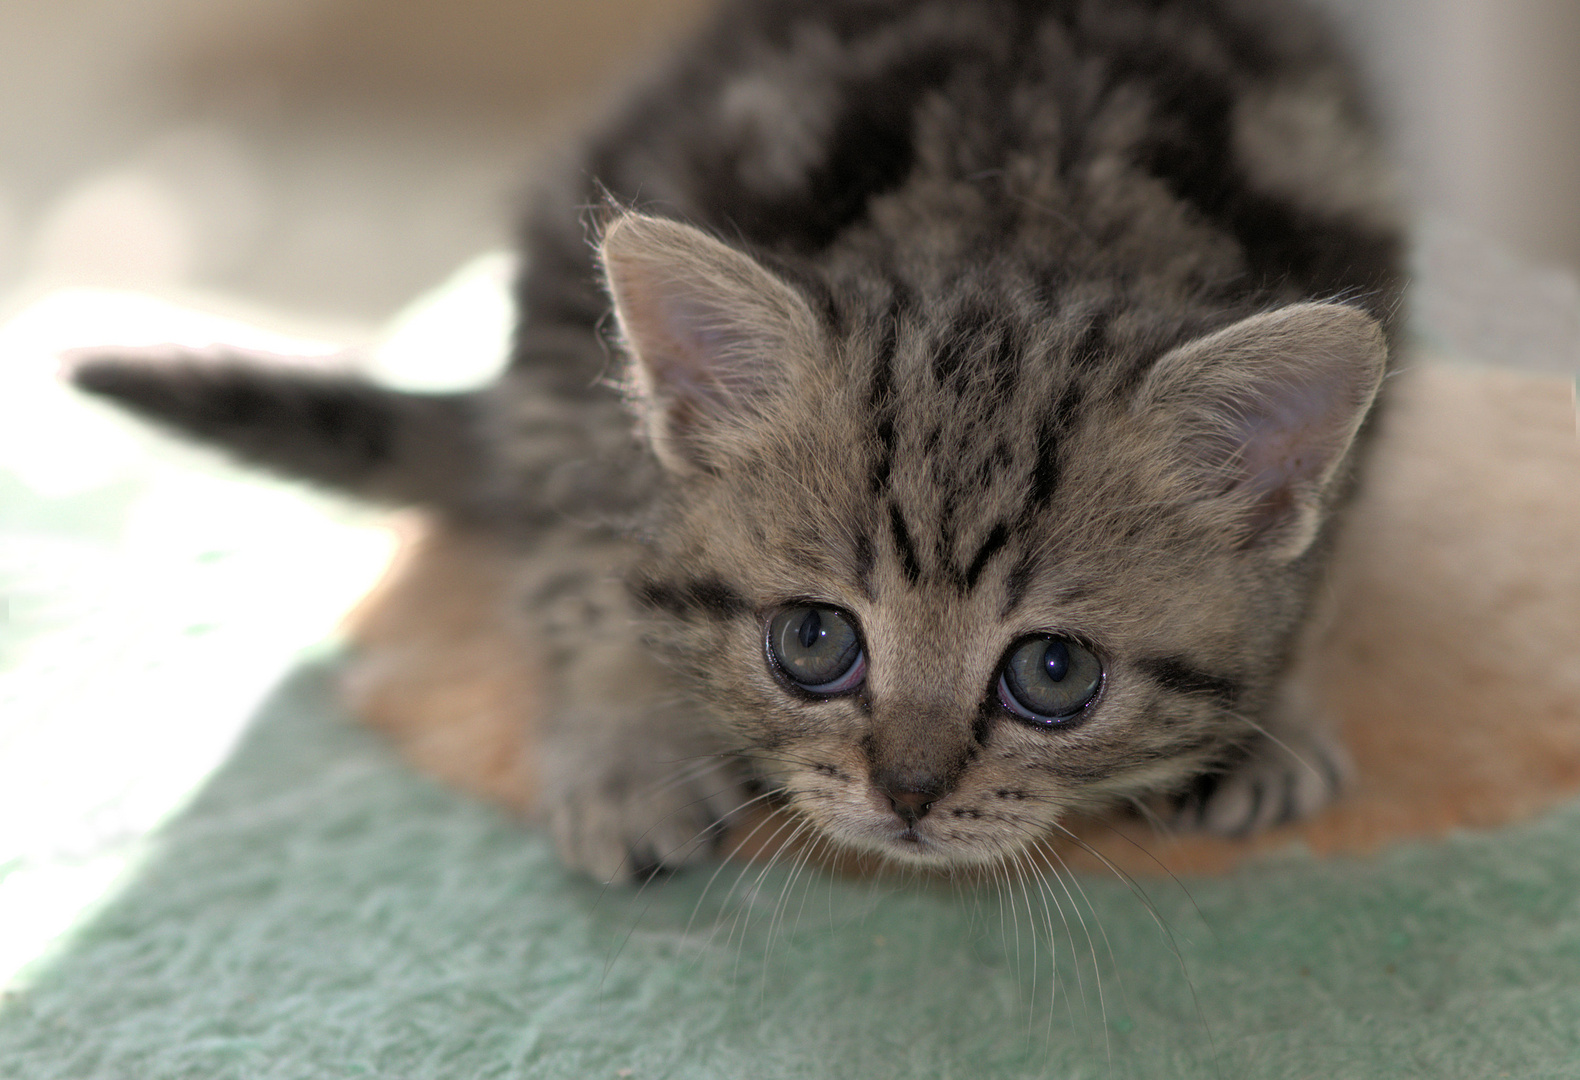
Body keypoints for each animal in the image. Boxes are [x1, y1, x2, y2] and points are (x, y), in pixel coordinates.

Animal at [74, 0, 1409, 884]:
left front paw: (1268, 719)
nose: (907, 792)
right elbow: (585, 559)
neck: (1019, 211)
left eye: (1053, 674)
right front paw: (625, 743)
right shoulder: (583, 344)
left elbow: (1322, 557)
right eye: (812, 643)